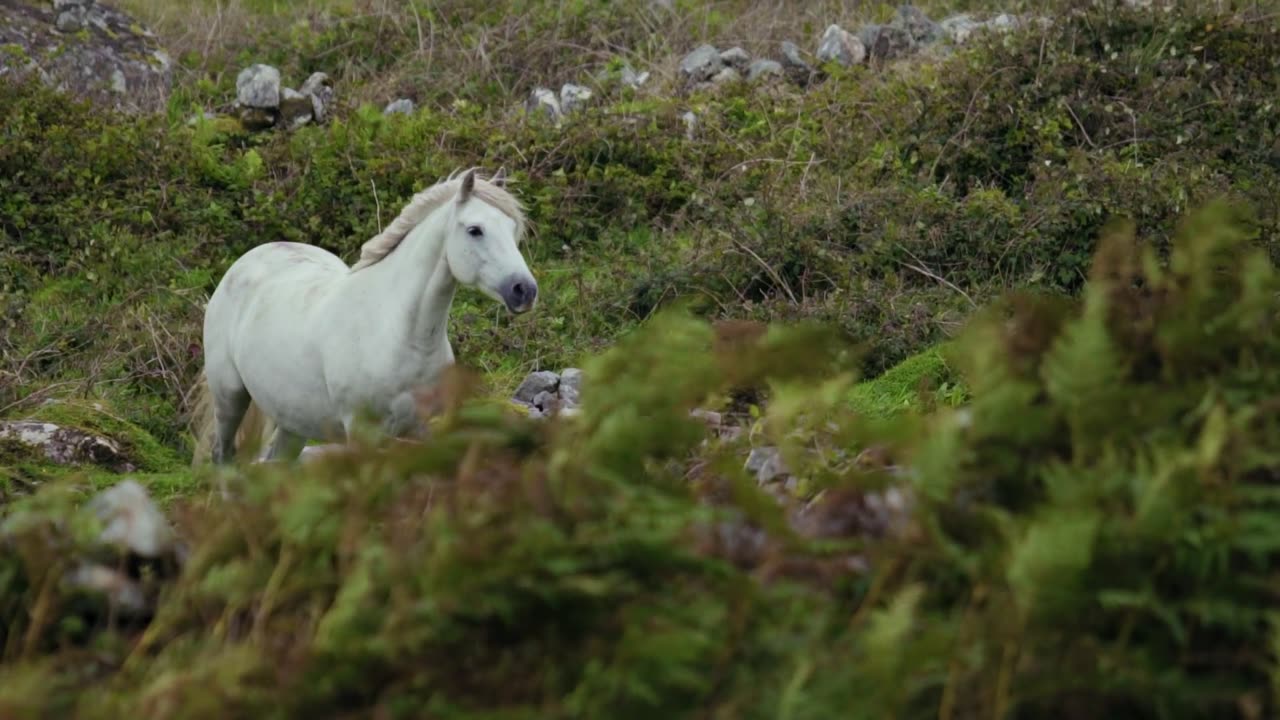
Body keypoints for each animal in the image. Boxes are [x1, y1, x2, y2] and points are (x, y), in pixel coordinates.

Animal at [189, 166, 535, 466]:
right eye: (475, 230)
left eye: (512, 229)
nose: (524, 290)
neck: (399, 334)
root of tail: (244, 262)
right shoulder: (361, 433)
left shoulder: (422, 431)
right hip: (230, 397)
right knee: (223, 458)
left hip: (292, 419)